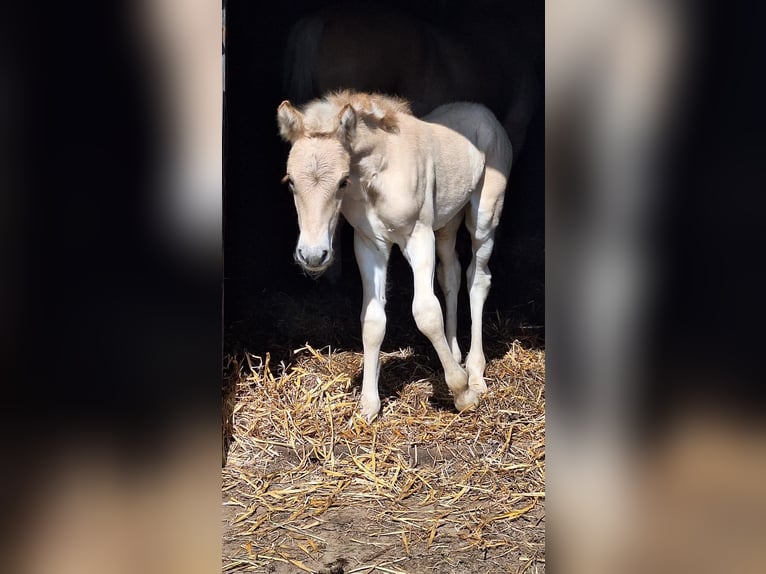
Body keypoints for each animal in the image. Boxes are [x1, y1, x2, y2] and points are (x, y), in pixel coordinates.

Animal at [277, 90, 513, 421]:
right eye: (291, 182)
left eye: (342, 181)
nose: (313, 255)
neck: (377, 175)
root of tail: (482, 111)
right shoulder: (369, 244)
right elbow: (373, 320)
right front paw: (368, 405)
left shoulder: (418, 236)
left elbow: (426, 312)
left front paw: (462, 392)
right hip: (447, 221)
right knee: (451, 274)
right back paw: (455, 355)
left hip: (485, 215)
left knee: (477, 279)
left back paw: (475, 373)